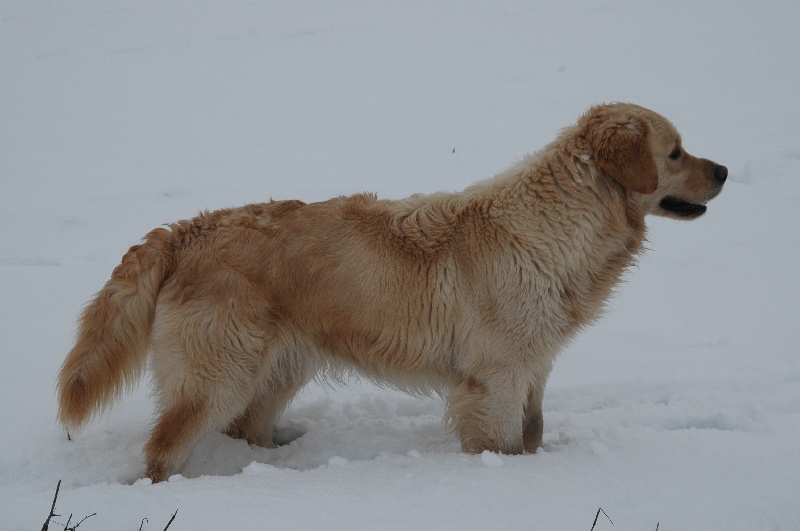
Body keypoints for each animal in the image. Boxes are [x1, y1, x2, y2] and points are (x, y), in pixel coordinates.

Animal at [59, 103, 728, 482]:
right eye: (675, 151)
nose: (724, 170)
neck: (560, 226)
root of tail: (185, 229)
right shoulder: (496, 375)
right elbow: (503, 444)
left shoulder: (535, 366)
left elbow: (533, 434)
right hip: (218, 373)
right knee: (163, 449)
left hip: (276, 368)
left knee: (243, 428)